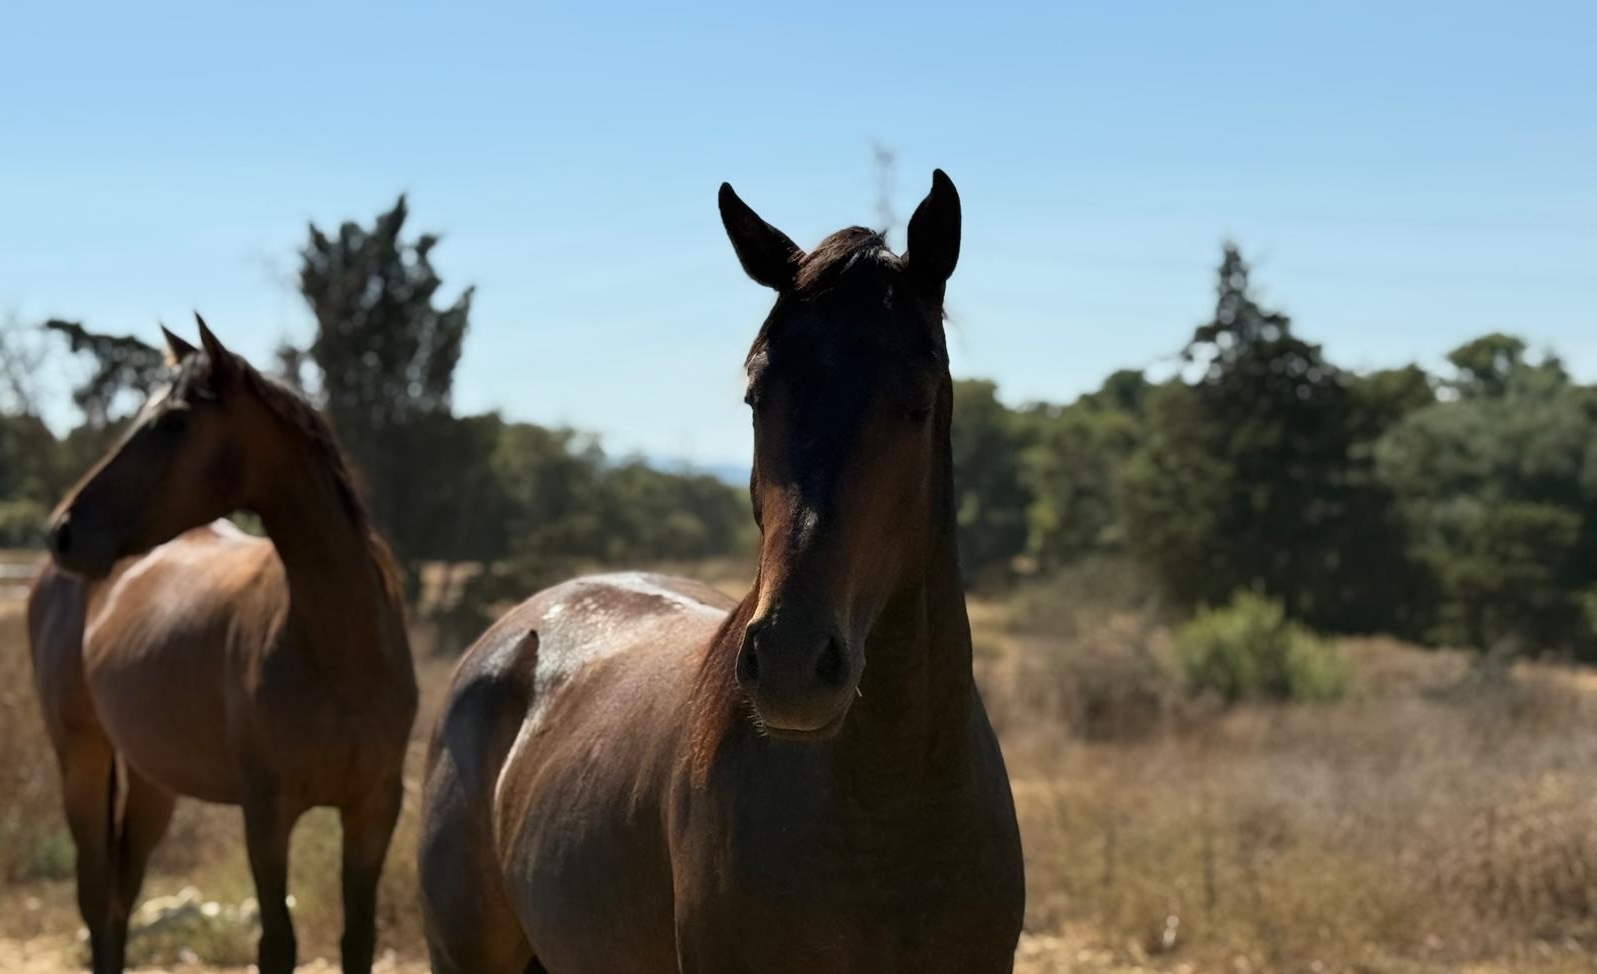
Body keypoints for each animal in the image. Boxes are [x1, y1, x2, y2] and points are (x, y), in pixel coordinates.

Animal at [28, 320, 416, 974]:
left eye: (173, 422)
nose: (63, 531)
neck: (340, 651)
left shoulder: (374, 809)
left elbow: (357, 940)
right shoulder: (266, 815)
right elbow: (277, 944)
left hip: (154, 778)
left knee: (121, 898)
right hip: (81, 757)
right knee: (96, 896)